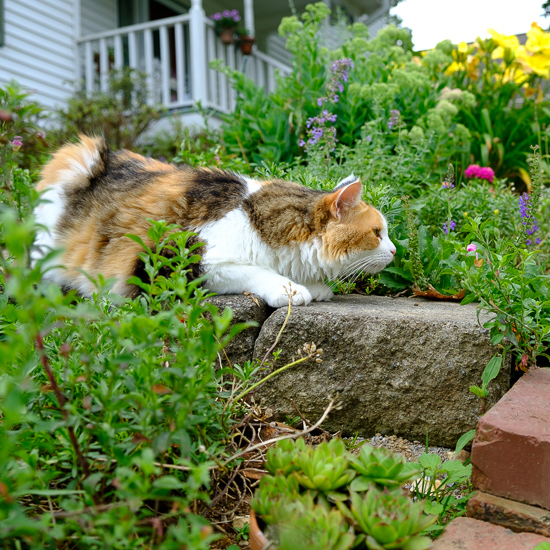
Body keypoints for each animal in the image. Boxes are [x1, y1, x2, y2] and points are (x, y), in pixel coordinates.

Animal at [32, 136, 396, 308]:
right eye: (377, 233)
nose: (394, 251)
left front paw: (314, 287)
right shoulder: (182, 262)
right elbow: (255, 270)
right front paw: (289, 288)